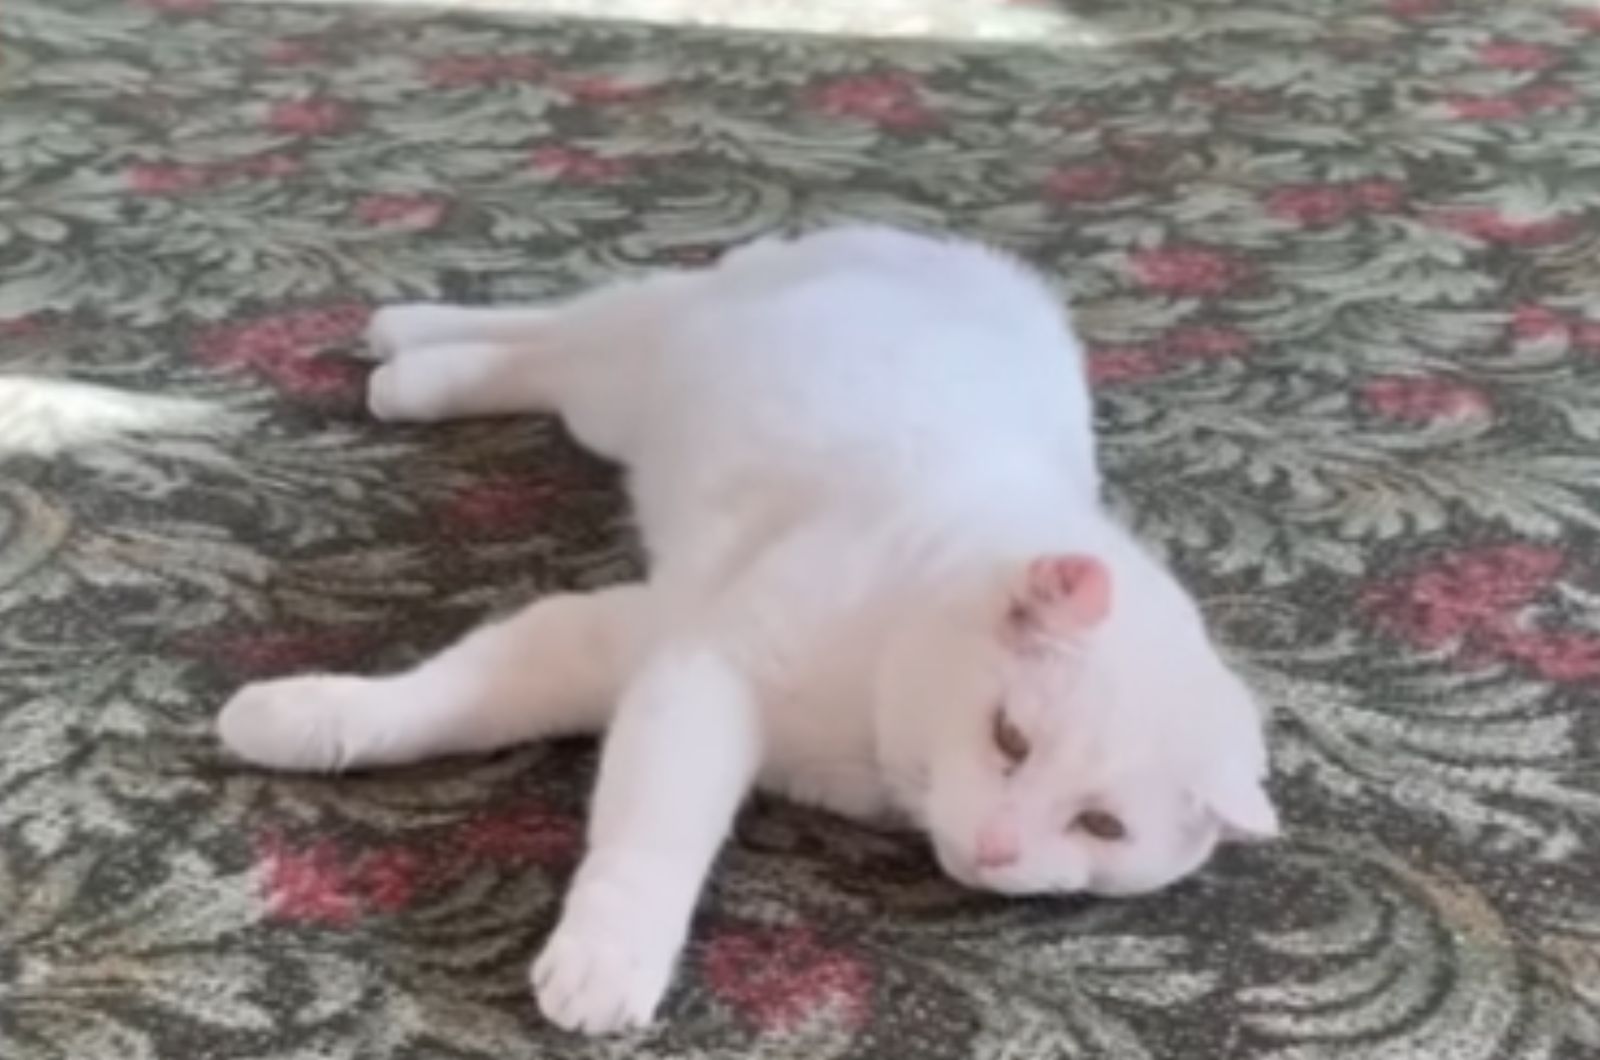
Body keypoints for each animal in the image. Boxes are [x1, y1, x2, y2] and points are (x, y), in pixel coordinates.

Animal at [222, 225, 1273, 1037]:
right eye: (1010, 738)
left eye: (1103, 826)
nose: (1002, 849)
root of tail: (952, 253)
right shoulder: (698, 665)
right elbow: (645, 823)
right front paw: (610, 956)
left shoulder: (633, 639)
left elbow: (472, 699)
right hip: (632, 381)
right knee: (568, 329)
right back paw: (412, 348)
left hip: (622, 394)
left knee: (556, 344)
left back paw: (409, 349)